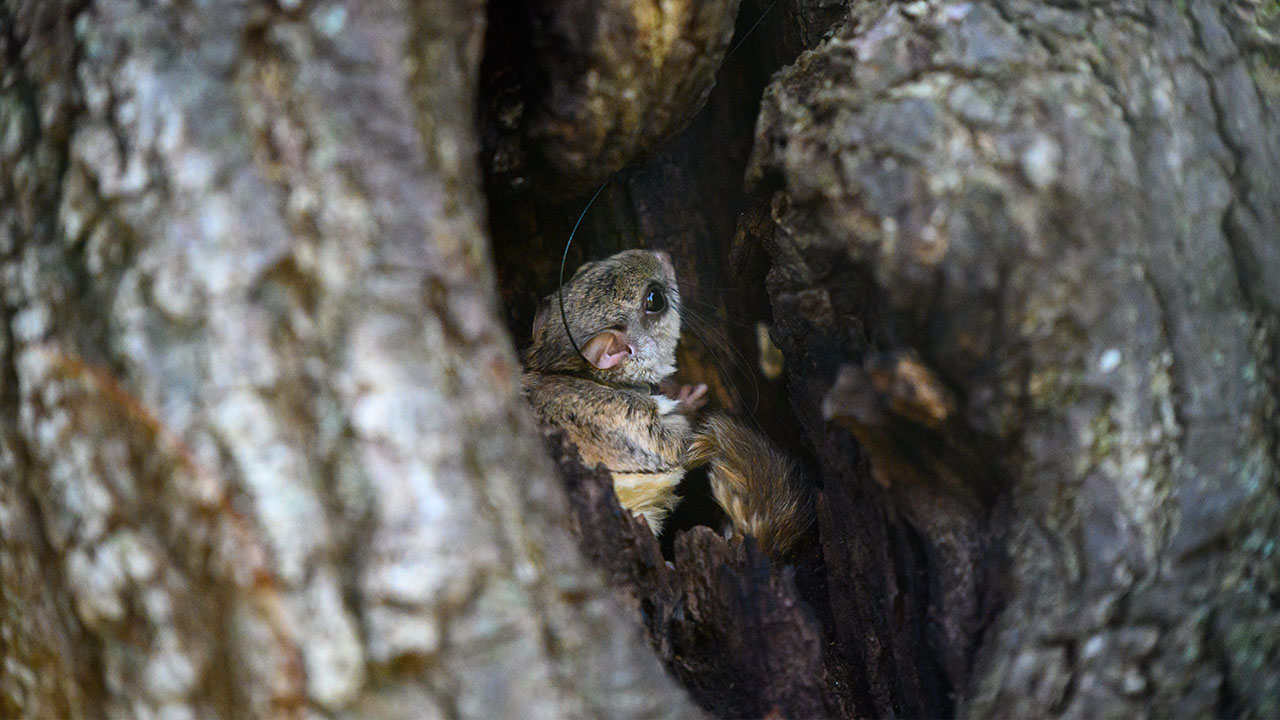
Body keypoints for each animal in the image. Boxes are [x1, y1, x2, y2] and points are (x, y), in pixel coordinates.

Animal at [519, 245, 808, 556]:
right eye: (654, 299)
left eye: (584, 269)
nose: (662, 253)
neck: (580, 373)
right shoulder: (634, 421)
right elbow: (680, 443)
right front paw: (688, 400)